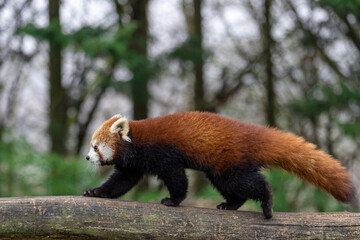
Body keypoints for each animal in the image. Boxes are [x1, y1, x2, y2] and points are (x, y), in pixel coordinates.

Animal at [83, 111, 354, 218]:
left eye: (95, 146)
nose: (86, 158)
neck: (137, 141)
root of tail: (247, 132)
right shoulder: (134, 164)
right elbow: (121, 182)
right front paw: (95, 192)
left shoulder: (163, 153)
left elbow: (177, 177)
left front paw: (174, 200)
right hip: (220, 168)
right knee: (233, 187)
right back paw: (230, 204)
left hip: (228, 162)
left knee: (250, 183)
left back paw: (267, 203)